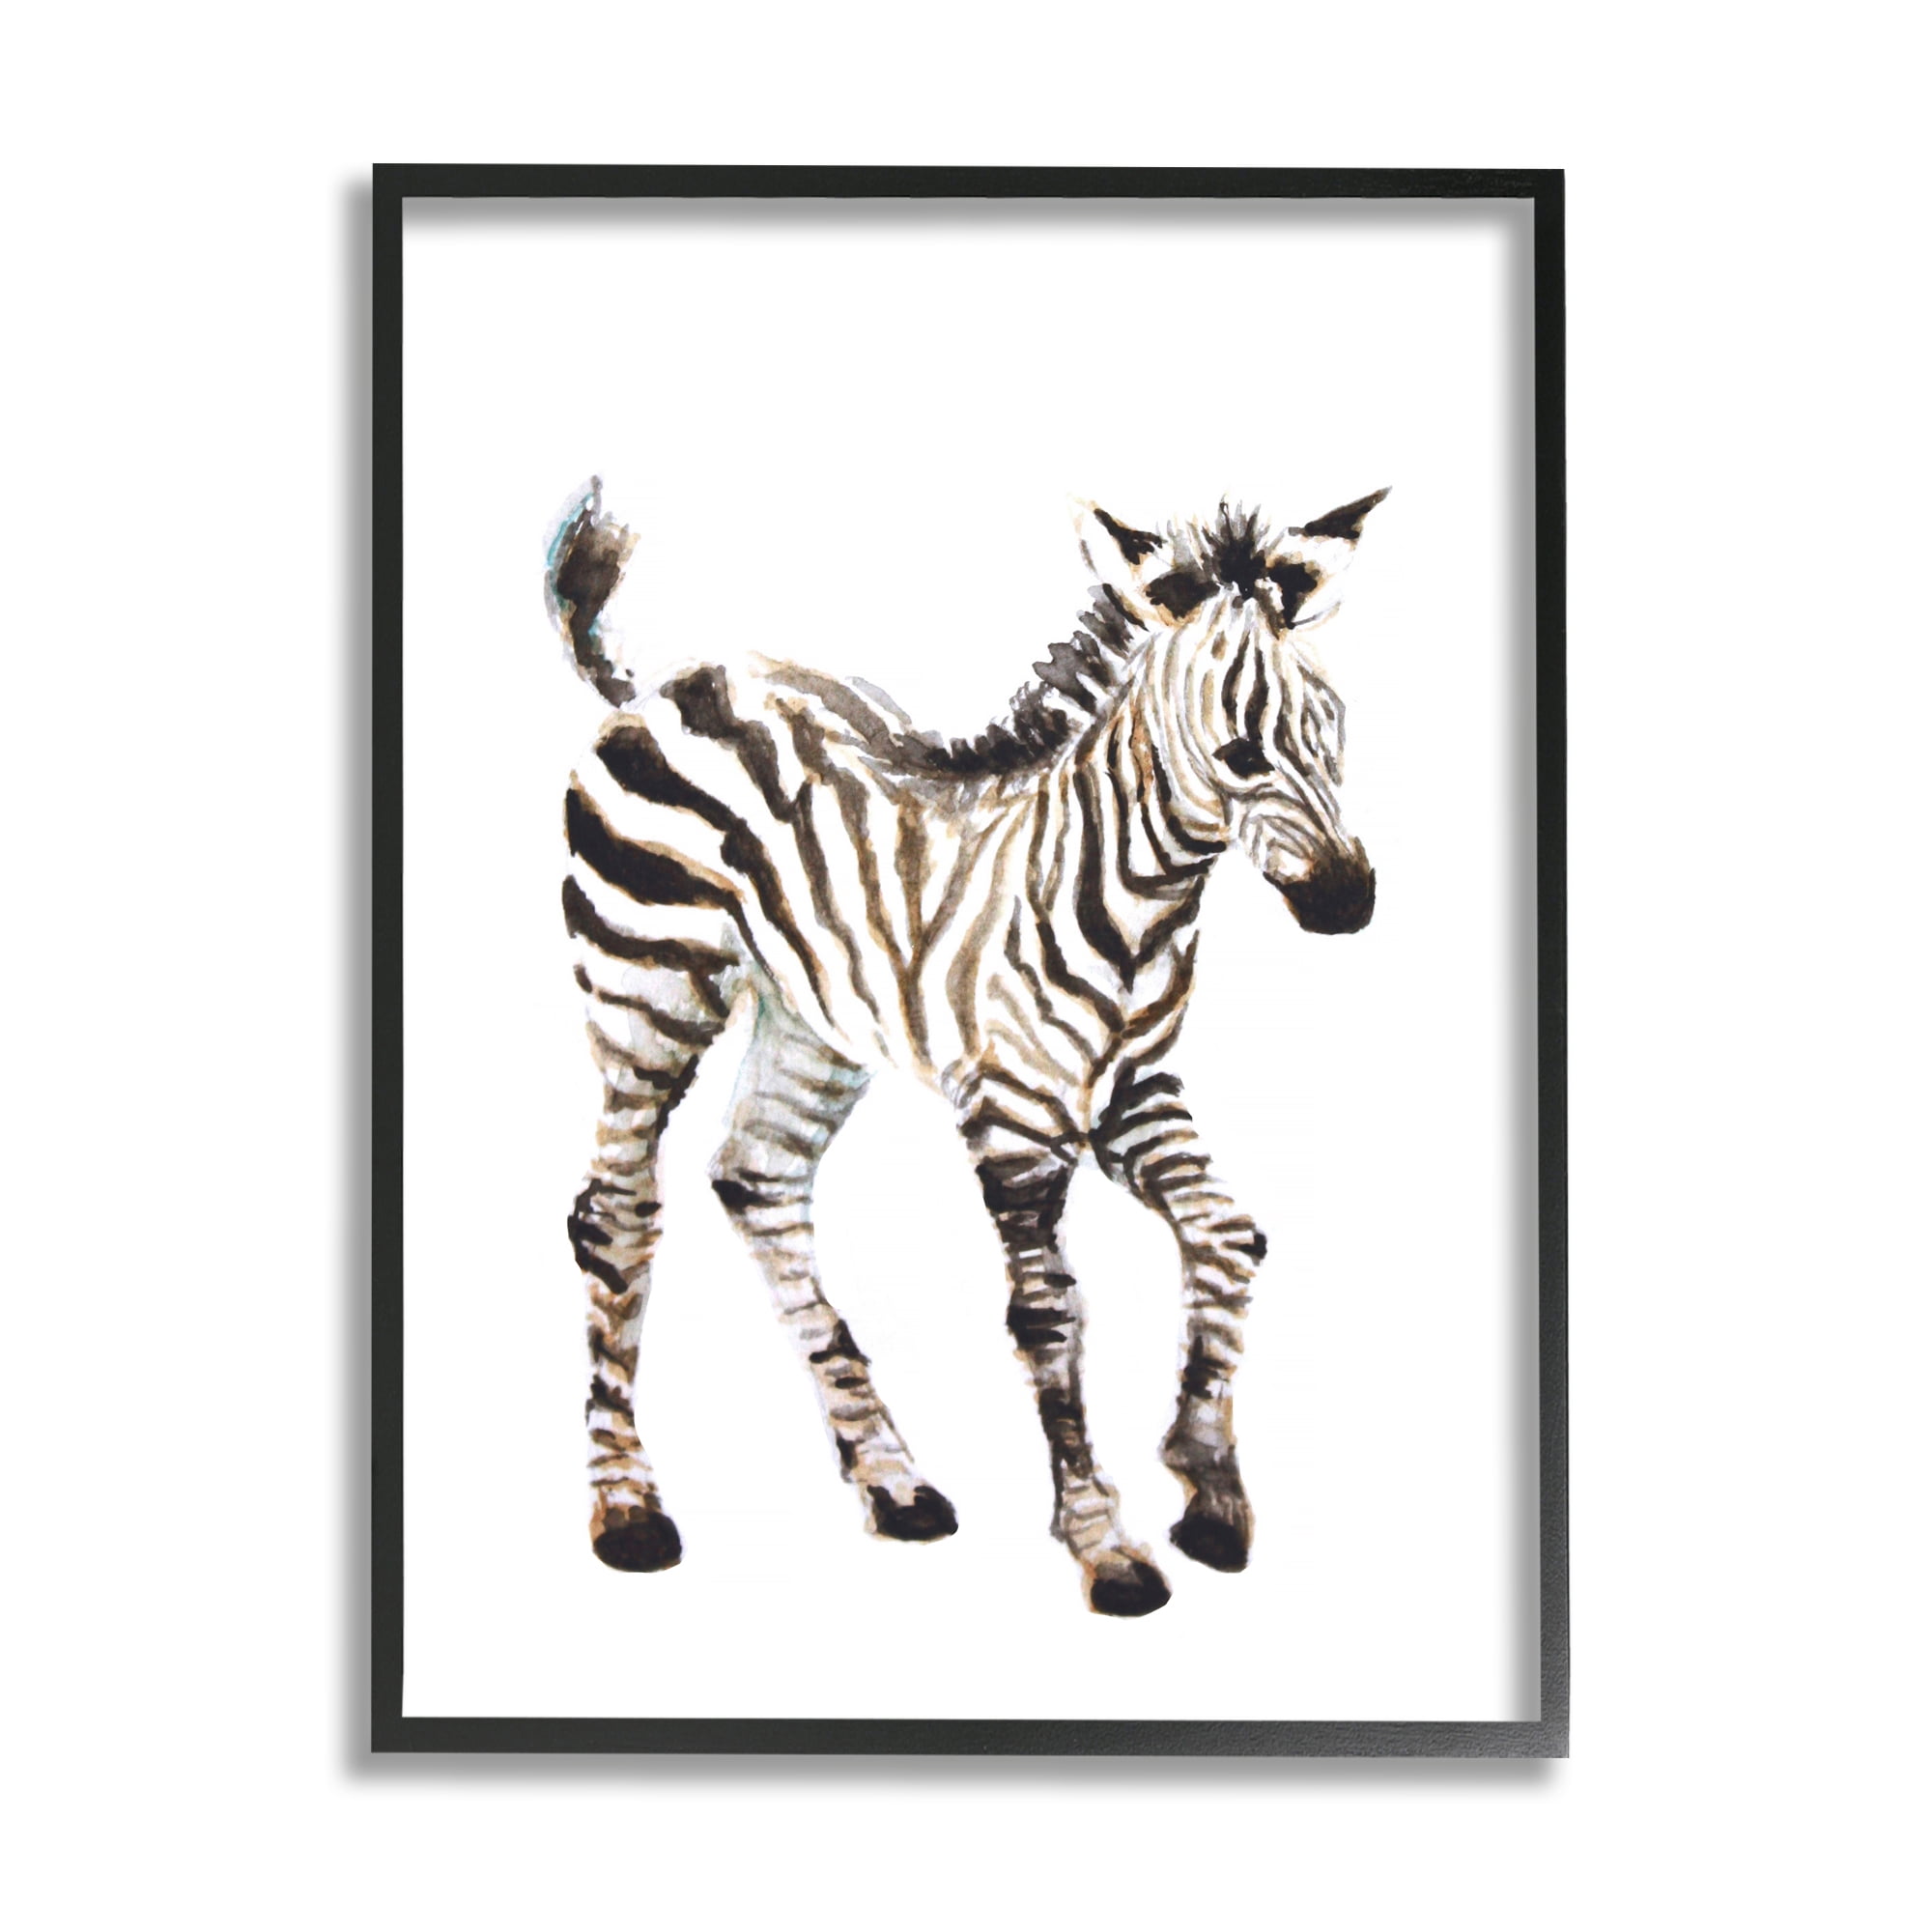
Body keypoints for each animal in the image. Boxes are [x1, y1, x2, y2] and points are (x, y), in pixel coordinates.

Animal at [545, 481, 1385, 1616]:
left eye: (1332, 729)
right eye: (1241, 751)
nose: (1350, 903)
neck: (1133, 899)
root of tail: (657, 686)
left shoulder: (1134, 1091)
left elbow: (1228, 1235)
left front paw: (1208, 1484)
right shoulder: (1015, 1114)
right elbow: (1047, 1317)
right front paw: (1104, 1544)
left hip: (813, 1020)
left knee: (757, 1179)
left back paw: (892, 1481)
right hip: (645, 990)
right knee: (616, 1216)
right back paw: (628, 1508)